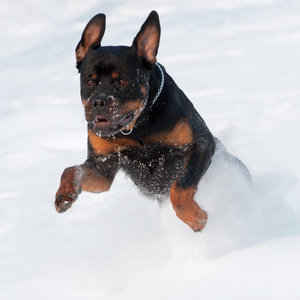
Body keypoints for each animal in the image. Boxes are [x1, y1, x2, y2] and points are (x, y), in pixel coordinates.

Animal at [54, 10, 251, 232]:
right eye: (89, 81)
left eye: (122, 81)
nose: (98, 102)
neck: (138, 128)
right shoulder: (102, 168)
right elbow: (70, 170)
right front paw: (65, 193)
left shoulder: (201, 144)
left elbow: (180, 187)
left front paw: (194, 217)